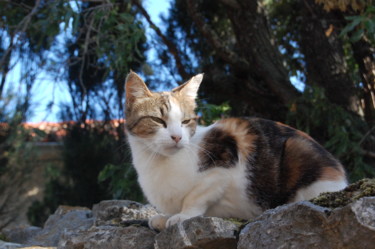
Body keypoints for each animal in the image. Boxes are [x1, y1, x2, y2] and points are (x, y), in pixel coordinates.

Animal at [125, 71, 348, 231]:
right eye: (158, 120)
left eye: (185, 121)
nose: (177, 137)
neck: (158, 162)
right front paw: (165, 217)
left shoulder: (223, 162)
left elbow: (195, 197)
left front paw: (182, 216)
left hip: (298, 151)